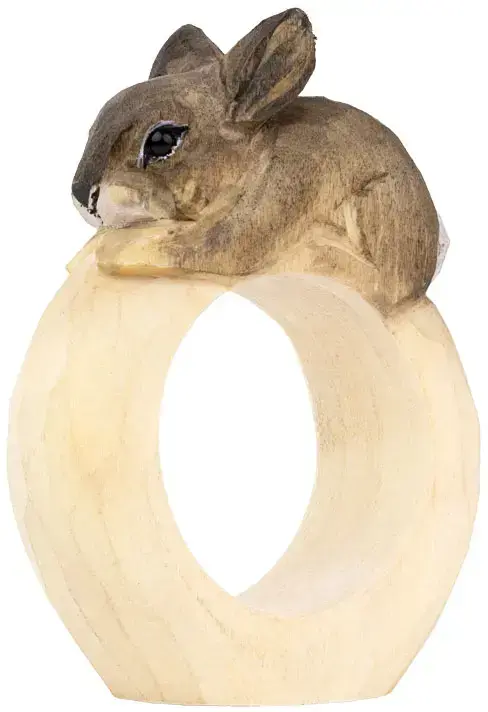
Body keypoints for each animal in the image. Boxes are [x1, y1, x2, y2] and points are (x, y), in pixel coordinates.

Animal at [72, 7, 442, 312]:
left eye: (162, 141)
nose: (81, 196)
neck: (256, 156)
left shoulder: (281, 191)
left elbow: (194, 246)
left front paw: (111, 254)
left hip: (378, 200)